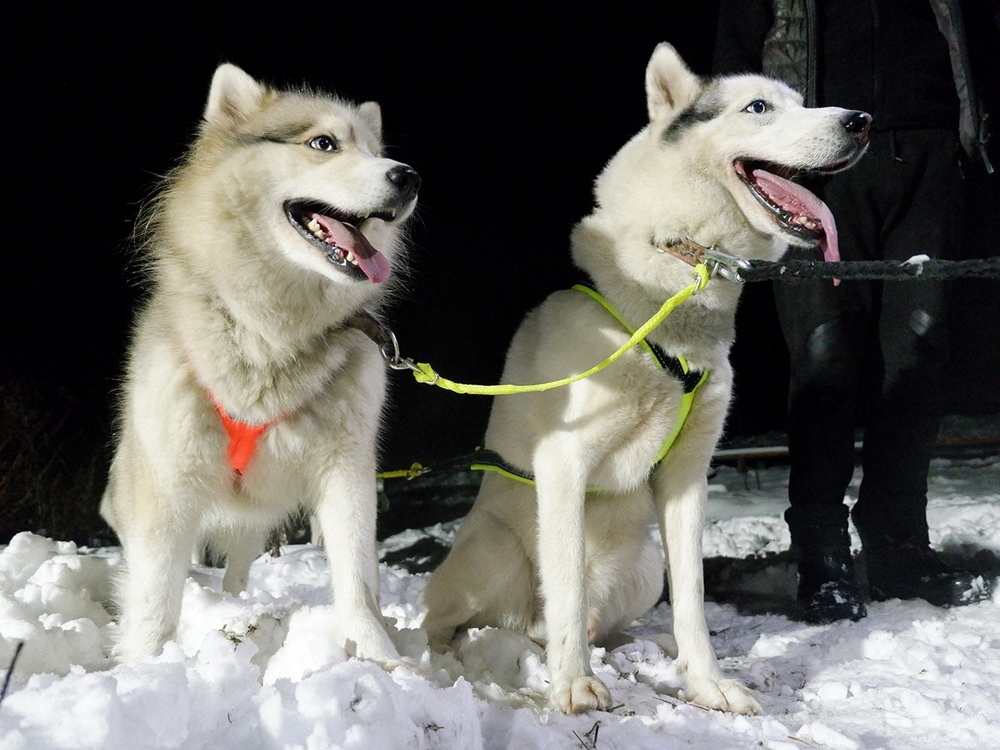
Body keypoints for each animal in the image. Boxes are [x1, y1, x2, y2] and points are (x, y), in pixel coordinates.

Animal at [99, 62, 420, 665]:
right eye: (323, 143)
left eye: (376, 150)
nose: (409, 176)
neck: (270, 331)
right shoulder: (168, 485)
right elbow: (153, 603)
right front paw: (144, 669)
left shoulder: (347, 473)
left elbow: (357, 581)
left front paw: (380, 659)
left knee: (240, 566)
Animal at [421, 42, 870, 714]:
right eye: (758, 107)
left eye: (798, 100)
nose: (861, 120)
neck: (678, 275)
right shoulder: (564, 464)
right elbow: (568, 584)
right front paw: (573, 684)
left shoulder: (687, 476)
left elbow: (693, 601)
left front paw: (707, 682)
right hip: (493, 556)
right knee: (457, 618)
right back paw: (455, 653)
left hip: (644, 570)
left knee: (601, 623)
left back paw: (643, 645)